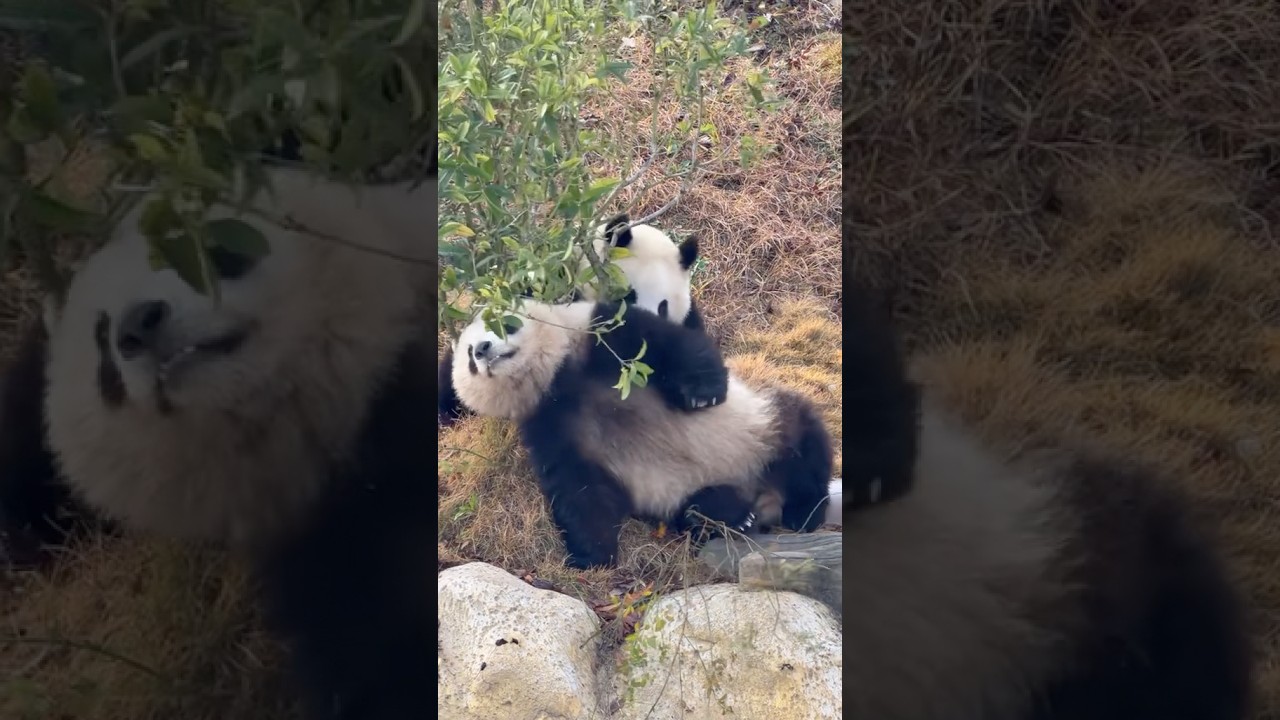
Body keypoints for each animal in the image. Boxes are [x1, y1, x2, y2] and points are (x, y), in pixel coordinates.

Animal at [447, 297, 835, 567]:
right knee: (696, 512)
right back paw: (732, 516)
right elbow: (579, 488)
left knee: (801, 436)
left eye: (506, 323)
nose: (482, 349)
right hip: (689, 495)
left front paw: (704, 392)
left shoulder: (597, 332)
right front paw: (591, 556)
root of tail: (765, 498)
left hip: (759, 427)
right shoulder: (551, 427)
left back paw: (805, 510)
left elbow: (669, 344)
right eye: (467, 356)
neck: (557, 379)